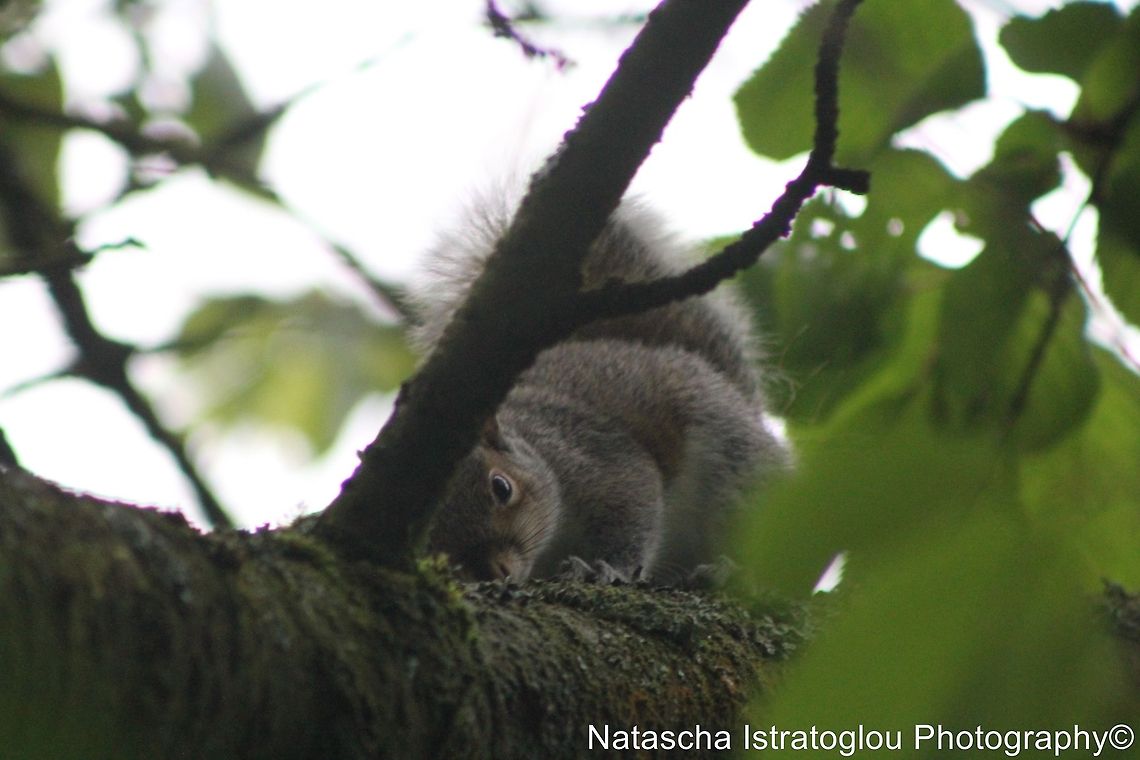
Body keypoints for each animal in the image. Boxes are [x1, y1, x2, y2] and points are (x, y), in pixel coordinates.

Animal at [410, 196, 790, 584]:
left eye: (501, 487)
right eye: (429, 547)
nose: (496, 572)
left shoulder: (594, 454)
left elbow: (631, 505)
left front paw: (609, 567)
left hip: (736, 462)